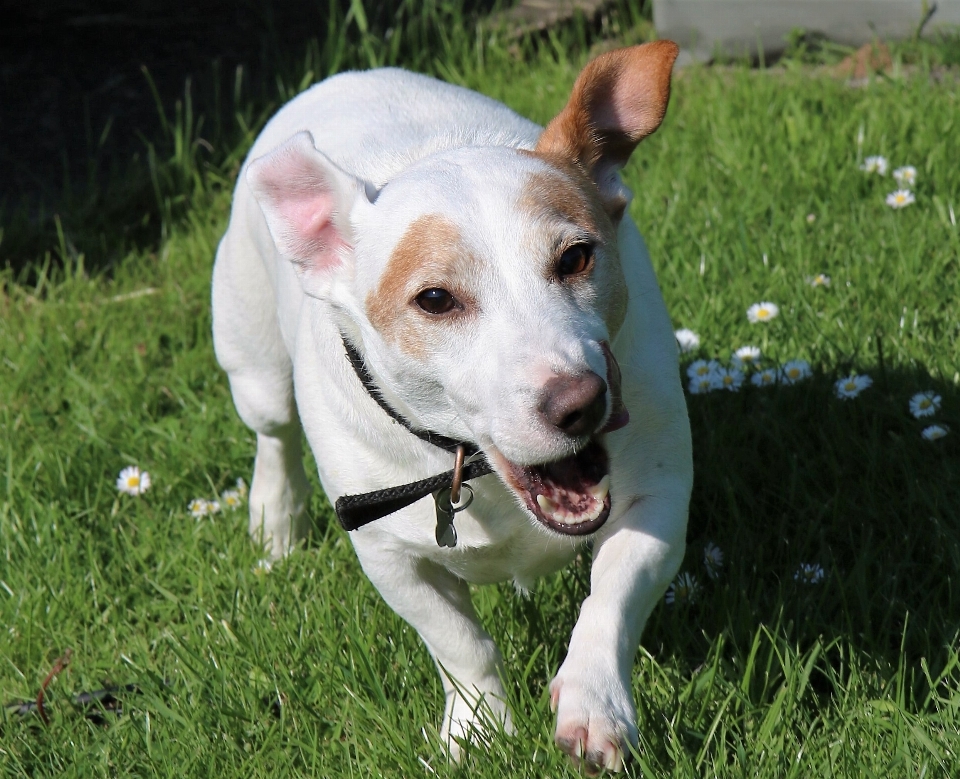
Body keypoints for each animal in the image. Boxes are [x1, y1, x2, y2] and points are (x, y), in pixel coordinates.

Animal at [212, 42, 688, 772]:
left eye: (577, 257)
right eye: (435, 300)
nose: (579, 403)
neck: (477, 468)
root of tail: (346, 76)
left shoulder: (658, 495)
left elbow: (612, 600)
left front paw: (593, 706)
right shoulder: (389, 553)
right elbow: (461, 645)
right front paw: (477, 730)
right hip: (253, 362)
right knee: (272, 434)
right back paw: (275, 519)